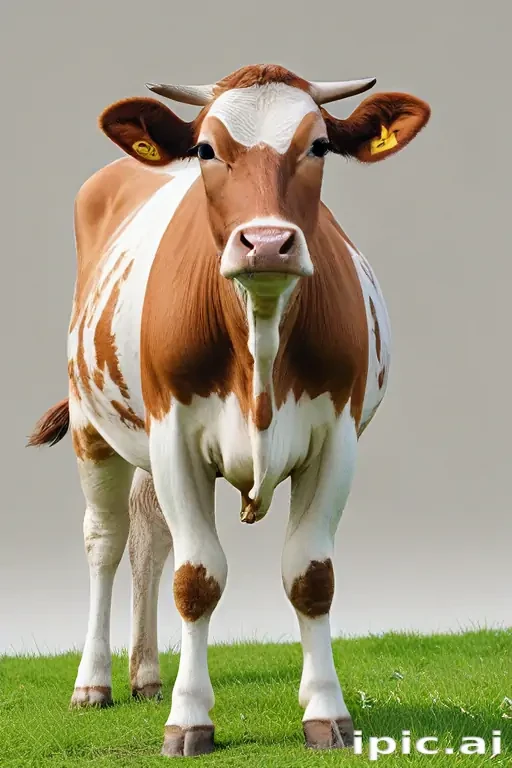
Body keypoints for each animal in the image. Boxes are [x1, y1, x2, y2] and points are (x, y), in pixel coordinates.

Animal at [28, 64, 430, 757]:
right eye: (207, 150)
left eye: (319, 146)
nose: (267, 243)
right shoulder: (174, 435)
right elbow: (197, 578)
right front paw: (190, 719)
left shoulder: (337, 437)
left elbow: (310, 576)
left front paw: (326, 712)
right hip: (91, 423)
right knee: (105, 541)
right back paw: (94, 683)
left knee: (147, 535)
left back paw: (146, 675)